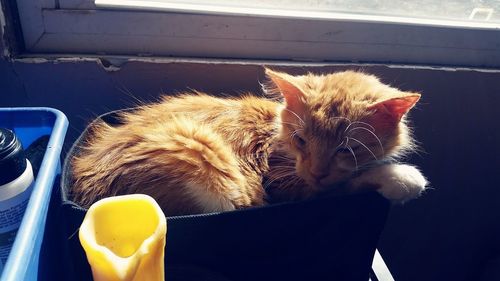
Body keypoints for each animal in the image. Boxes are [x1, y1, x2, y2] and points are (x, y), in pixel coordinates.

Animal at [70, 69, 428, 215]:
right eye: (301, 140)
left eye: (347, 149)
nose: (316, 171)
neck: (276, 134)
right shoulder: (285, 187)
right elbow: (345, 185)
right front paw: (401, 178)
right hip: (199, 156)